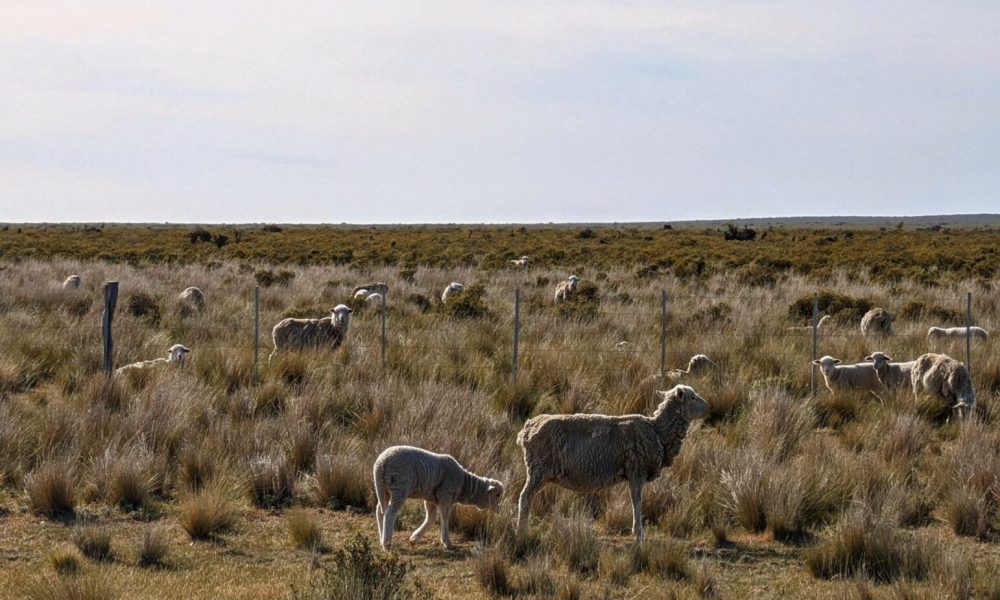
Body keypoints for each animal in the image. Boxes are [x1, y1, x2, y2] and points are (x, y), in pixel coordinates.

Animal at [373, 445, 503, 550]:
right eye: (497, 495)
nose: (499, 510)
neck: (463, 484)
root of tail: (381, 462)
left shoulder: (430, 497)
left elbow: (431, 517)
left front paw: (414, 538)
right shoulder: (444, 496)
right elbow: (445, 518)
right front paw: (447, 543)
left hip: (383, 488)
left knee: (380, 510)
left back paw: (381, 538)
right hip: (399, 486)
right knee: (390, 512)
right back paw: (387, 544)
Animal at [516, 384, 709, 540]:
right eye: (692, 397)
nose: (708, 407)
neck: (657, 430)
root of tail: (527, 428)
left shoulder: (634, 472)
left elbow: (635, 499)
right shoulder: (636, 470)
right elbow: (637, 500)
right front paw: (639, 533)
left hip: (539, 471)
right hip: (538, 470)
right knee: (525, 498)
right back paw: (521, 531)